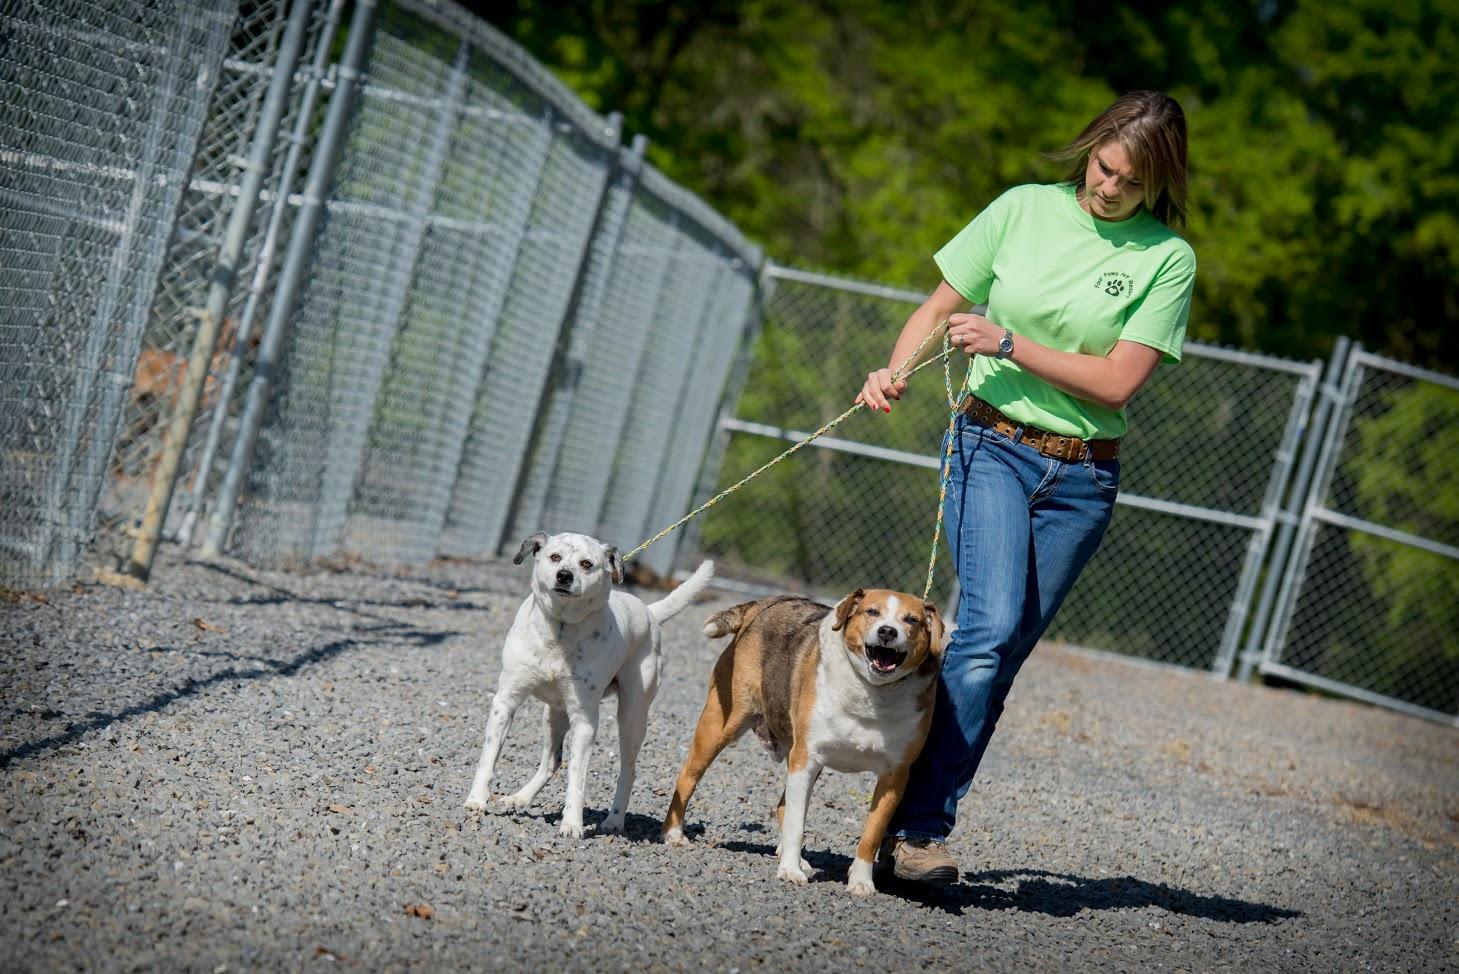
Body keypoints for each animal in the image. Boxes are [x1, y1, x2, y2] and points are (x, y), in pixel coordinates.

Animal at [466, 533, 711, 839]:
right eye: (555, 557)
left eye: (586, 563)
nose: (564, 576)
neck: (560, 630)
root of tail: (649, 611)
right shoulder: (506, 701)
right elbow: (488, 757)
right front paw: (476, 800)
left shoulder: (585, 721)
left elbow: (577, 778)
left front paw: (572, 824)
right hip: (553, 714)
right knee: (552, 760)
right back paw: (520, 798)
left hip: (632, 717)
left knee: (628, 770)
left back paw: (614, 821)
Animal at [662, 589, 945, 892]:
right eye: (872, 612)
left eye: (911, 620)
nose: (888, 631)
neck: (871, 692)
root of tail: (762, 604)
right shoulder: (806, 758)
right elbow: (797, 822)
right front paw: (790, 870)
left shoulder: (894, 777)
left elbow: (872, 833)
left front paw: (860, 882)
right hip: (722, 723)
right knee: (688, 776)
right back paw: (674, 833)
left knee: (782, 806)